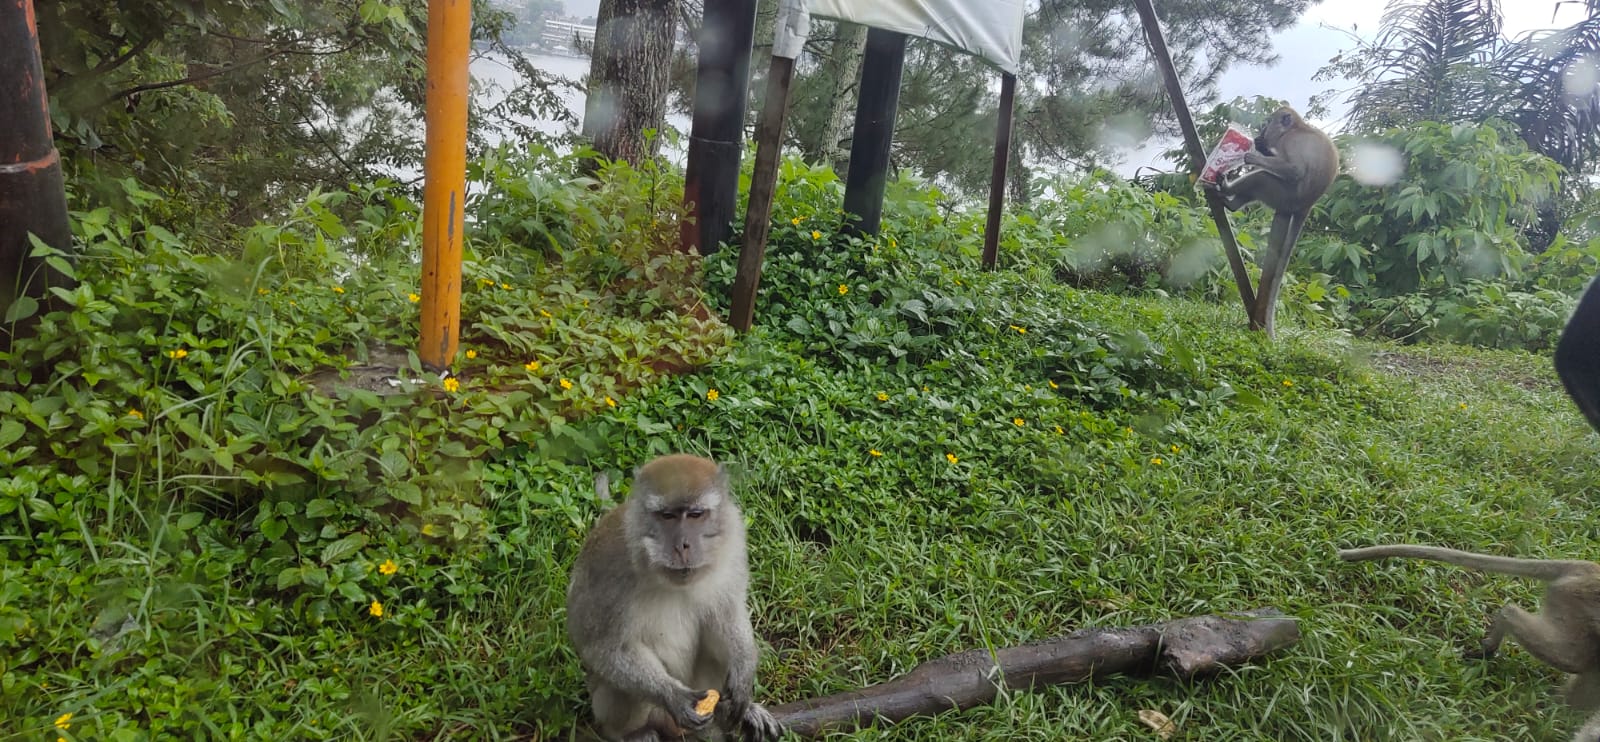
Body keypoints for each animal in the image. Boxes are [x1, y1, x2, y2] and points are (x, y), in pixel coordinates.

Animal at [566, 454, 783, 742]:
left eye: (695, 515)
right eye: (667, 516)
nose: (682, 545)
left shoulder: (734, 541)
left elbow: (729, 612)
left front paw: (743, 675)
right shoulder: (609, 567)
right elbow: (602, 648)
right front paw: (673, 696)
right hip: (611, 707)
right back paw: (633, 733)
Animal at [1202, 105, 1340, 336]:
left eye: (1268, 122)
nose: (1262, 130)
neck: (1294, 128)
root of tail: (1306, 205)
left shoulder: (1290, 142)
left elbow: (1295, 170)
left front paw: (1254, 155)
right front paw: (1260, 145)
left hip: (1283, 195)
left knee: (1262, 178)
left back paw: (1229, 196)